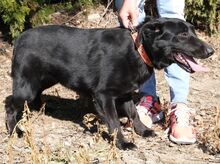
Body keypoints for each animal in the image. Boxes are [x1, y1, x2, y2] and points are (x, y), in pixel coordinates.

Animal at [5, 17, 215, 150]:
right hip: (28, 85)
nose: (211, 51)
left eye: (193, 32)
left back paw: (42, 108)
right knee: (9, 103)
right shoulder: (104, 96)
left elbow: (133, 114)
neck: (138, 51)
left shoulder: (125, 94)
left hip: (44, 79)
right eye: (183, 35)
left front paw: (142, 131)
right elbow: (114, 122)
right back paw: (15, 130)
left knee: (32, 97)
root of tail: (20, 38)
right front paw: (122, 143)